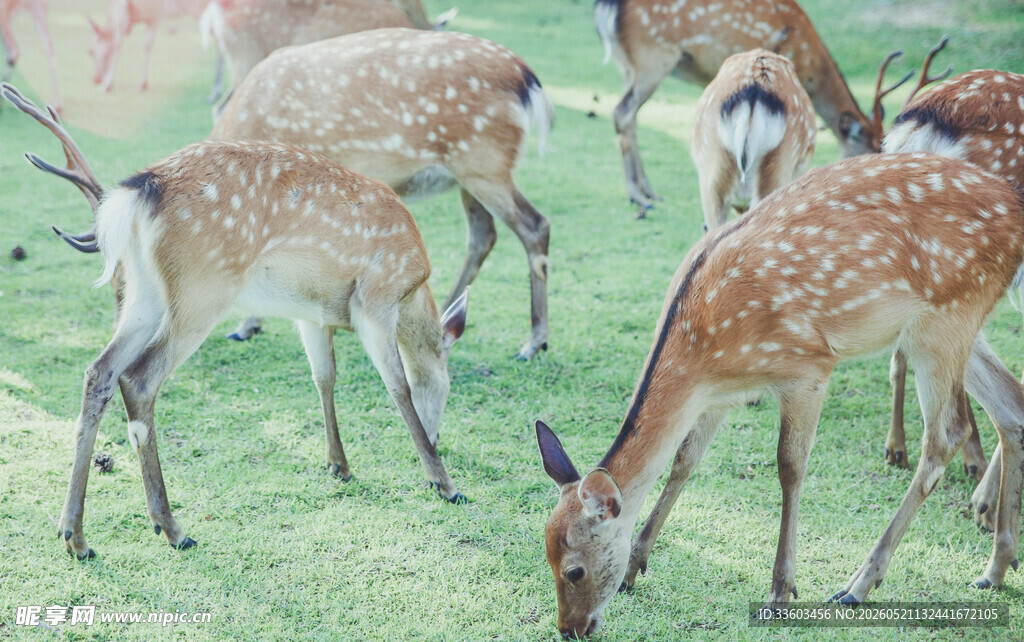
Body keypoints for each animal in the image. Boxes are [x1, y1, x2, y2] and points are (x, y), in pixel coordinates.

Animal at [3, 82, 471, 560]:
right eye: (446, 386)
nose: (437, 437)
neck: (413, 287)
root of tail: (139, 193)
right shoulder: (374, 299)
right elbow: (397, 387)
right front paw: (443, 483)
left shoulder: (313, 313)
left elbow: (324, 377)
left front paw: (338, 464)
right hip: (204, 287)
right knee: (139, 377)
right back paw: (172, 528)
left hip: (142, 293)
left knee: (100, 371)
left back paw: (76, 537)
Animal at [211, 28, 554, 360]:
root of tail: (527, 78)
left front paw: (248, 325)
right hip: (467, 174)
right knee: (483, 235)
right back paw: (446, 315)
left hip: (484, 161)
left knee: (535, 225)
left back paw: (534, 342)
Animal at [537, 152, 1024, 638]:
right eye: (546, 555)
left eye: (574, 570)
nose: (569, 628)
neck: (704, 353)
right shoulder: (718, 396)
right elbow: (684, 461)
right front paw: (636, 565)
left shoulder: (808, 368)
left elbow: (789, 467)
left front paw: (780, 593)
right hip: (953, 323)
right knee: (1010, 405)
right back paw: (994, 569)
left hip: (945, 316)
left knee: (945, 434)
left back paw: (858, 585)